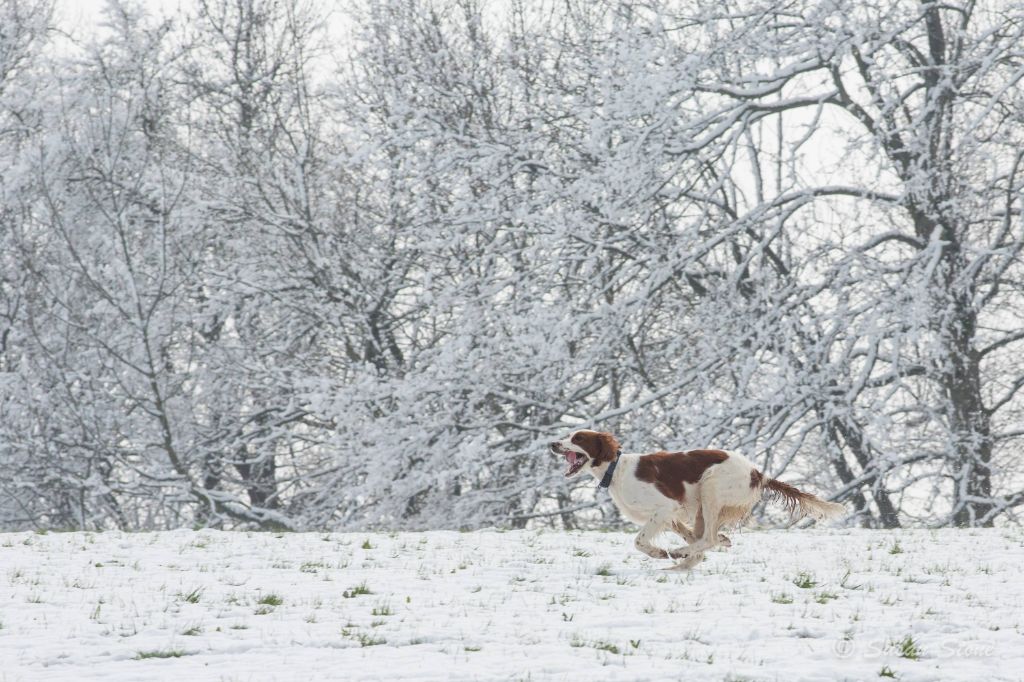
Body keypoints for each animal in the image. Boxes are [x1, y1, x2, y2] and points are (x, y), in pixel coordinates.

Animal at [557, 430, 843, 569]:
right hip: (702, 508)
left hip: (711, 486)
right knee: (706, 539)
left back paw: (679, 553)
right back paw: (683, 562)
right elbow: (692, 537)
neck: (616, 469)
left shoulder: (666, 506)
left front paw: (660, 552)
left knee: (708, 538)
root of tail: (757, 473)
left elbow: (639, 541)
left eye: (577, 437)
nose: (552, 444)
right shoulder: (672, 515)